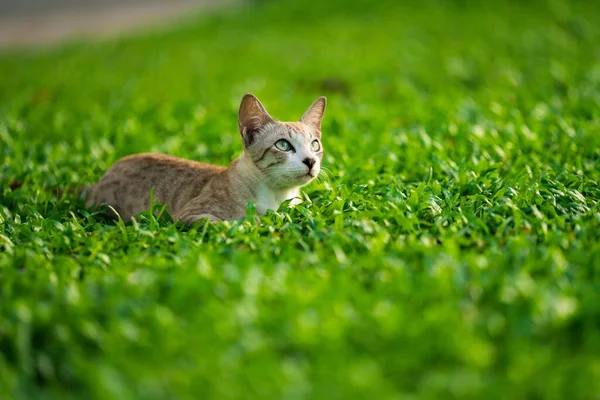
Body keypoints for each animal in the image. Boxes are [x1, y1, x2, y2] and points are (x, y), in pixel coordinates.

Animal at [82, 94, 326, 225]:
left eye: (314, 145)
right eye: (283, 145)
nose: (310, 161)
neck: (279, 196)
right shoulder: (190, 215)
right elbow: (235, 223)